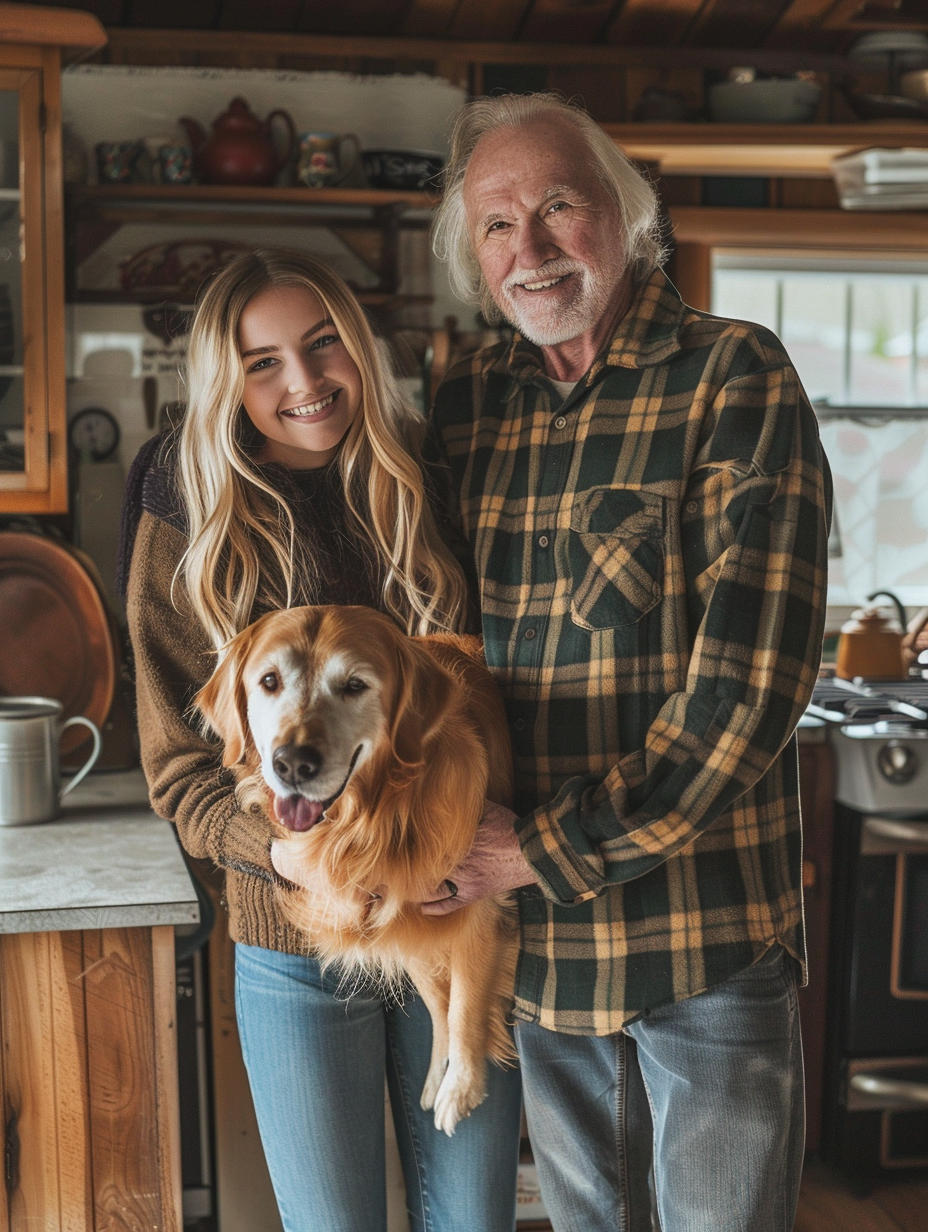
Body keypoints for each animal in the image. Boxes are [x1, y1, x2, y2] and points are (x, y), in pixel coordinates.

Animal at [195, 606, 517, 1133]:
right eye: (269, 681)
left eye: (354, 685)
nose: (292, 764)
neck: (376, 813)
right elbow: (445, 1004)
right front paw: (447, 1079)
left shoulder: (478, 904)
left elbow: (465, 1003)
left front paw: (462, 1089)